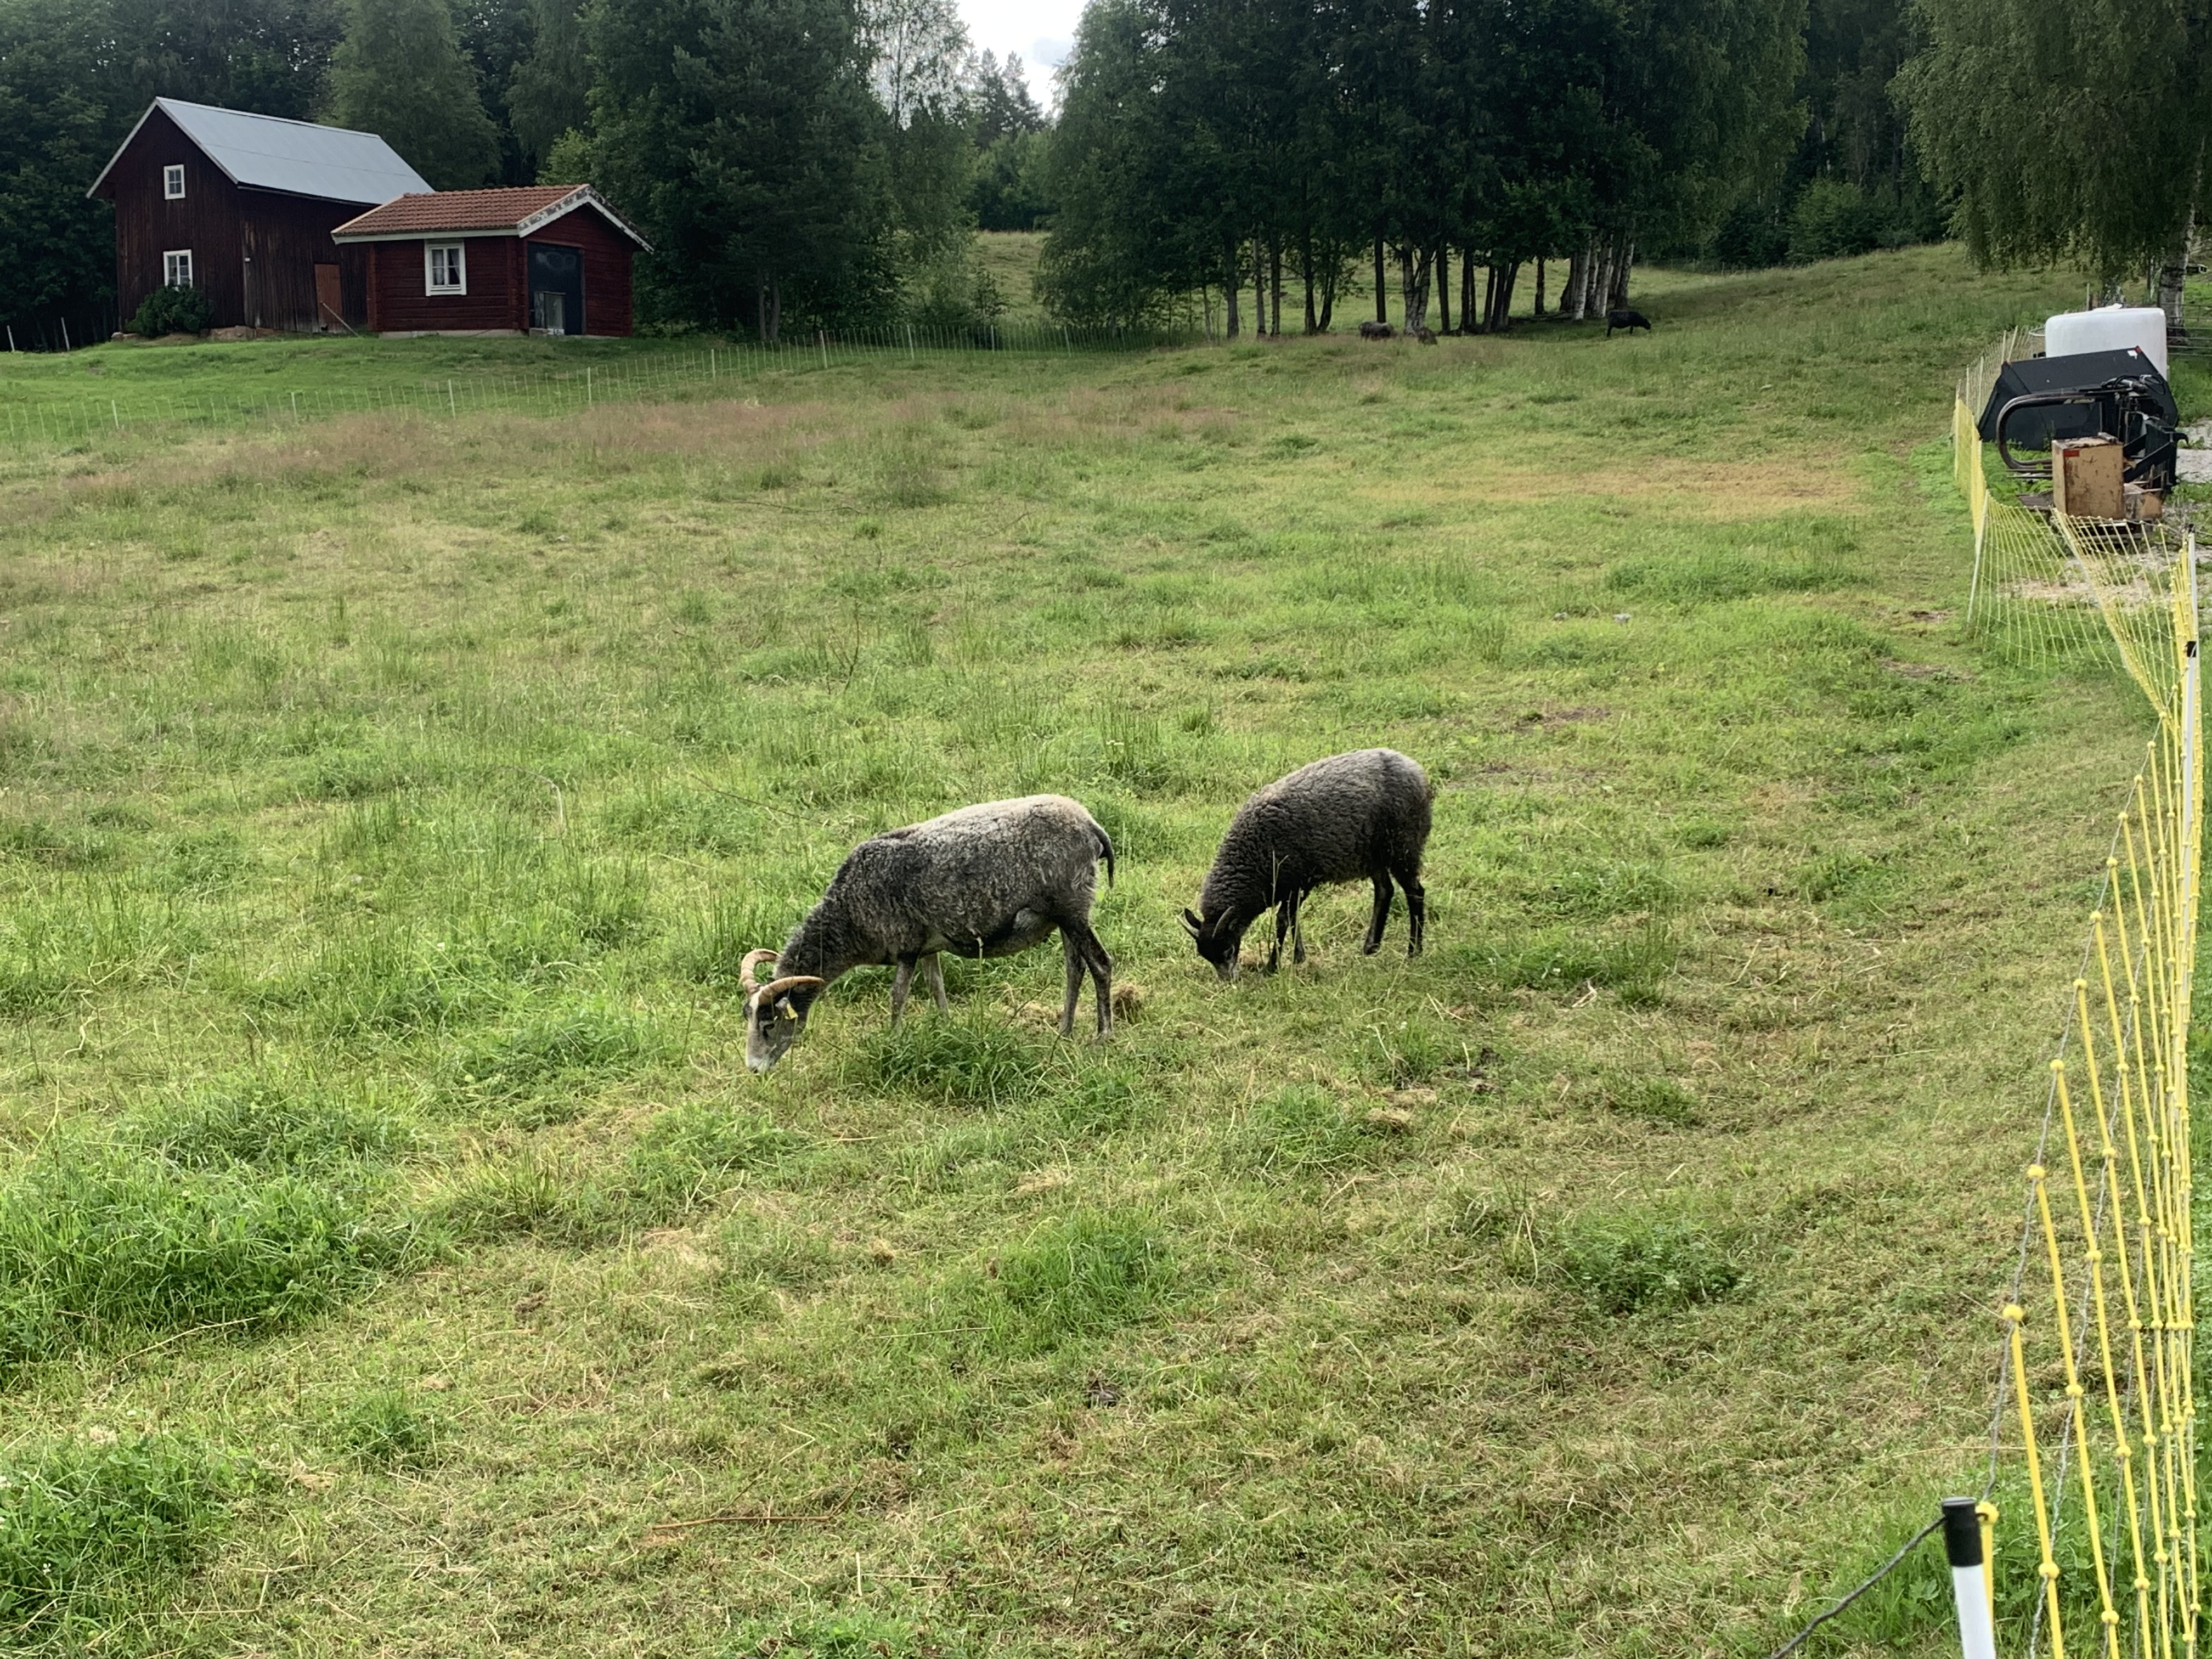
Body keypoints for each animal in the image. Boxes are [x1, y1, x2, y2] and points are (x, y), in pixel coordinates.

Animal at [741, 794, 1115, 1074]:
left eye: (769, 1025)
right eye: (748, 1017)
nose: (754, 1069)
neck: (849, 913)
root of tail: (1092, 826)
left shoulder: (905, 947)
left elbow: (897, 998)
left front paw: (893, 1041)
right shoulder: (927, 949)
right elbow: (937, 989)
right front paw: (948, 1029)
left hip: (1071, 908)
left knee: (1100, 964)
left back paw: (1103, 1036)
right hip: (1065, 917)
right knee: (1074, 969)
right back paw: (1064, 1032)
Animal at [1181, 749, 1433, 981]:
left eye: (1228, 950)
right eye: (1206, 956)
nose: (1229, 983)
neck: (1254, 855)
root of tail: (1415, 769)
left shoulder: (1299, 880)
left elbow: (1283, 920)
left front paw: (1272, 966)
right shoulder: (1292, 886)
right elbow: (1292, 918)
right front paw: (1298, 956)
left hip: (1403, 847)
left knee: (1415, 892)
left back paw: (1414, 951)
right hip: (1374, 854)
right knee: (1385, 890)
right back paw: (1371, 947)